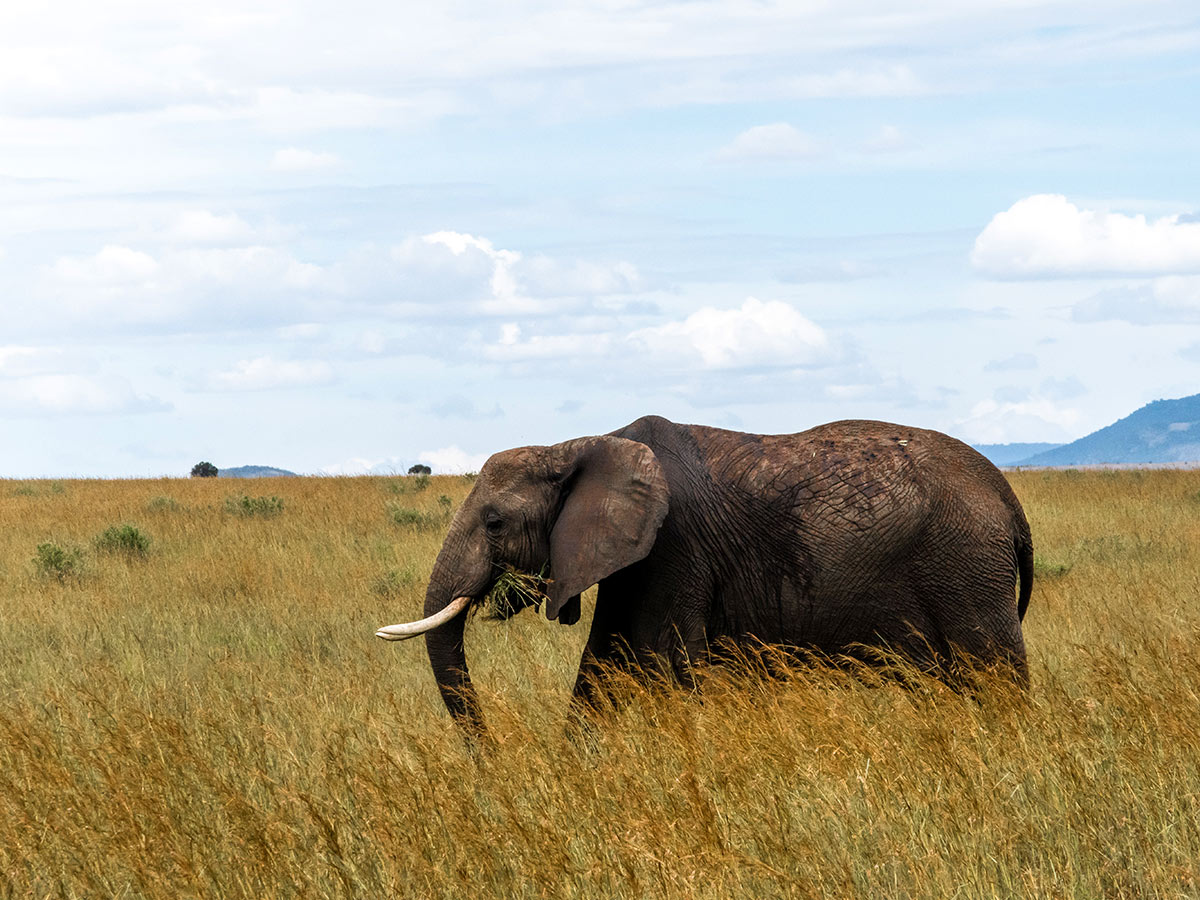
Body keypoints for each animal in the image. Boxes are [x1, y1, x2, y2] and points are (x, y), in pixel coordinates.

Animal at [376, 415, 1032, 739]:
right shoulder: (633, 561)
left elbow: (668, 665)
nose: (492, 759)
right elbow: (600, 668)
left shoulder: (673, 548)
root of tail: (1008, 496)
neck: (579, 445)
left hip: (967, 567)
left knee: (996, 674)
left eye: (493, 522)